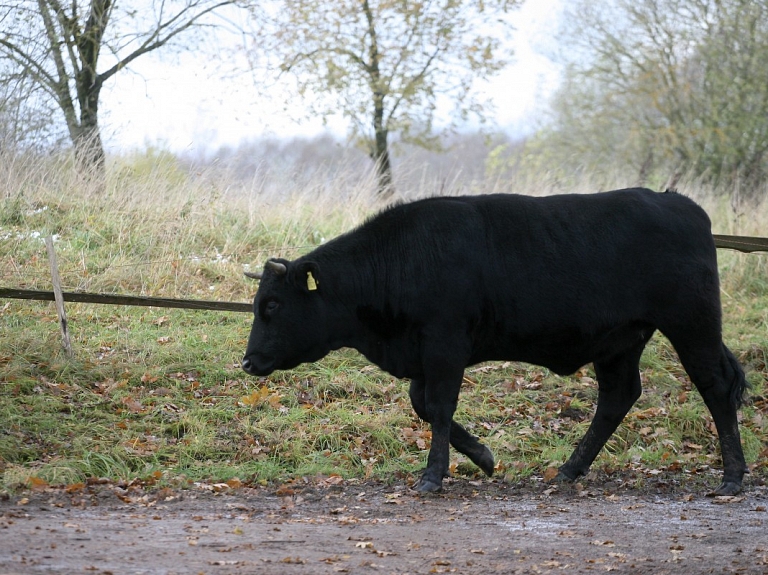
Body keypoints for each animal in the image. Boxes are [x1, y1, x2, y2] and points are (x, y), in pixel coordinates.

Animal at [243, 189, 748, 496]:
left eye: (273, 306)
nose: (247, 362)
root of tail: (678, 203)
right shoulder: (424, 355)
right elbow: (423, 404)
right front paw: (483, 457)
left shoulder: (445, 344)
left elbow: (439, 406)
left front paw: (434, 474)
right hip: (622, 341)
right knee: (617, 397)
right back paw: (570, 469)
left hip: (692, 322)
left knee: (715, 387)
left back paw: (732, 477)